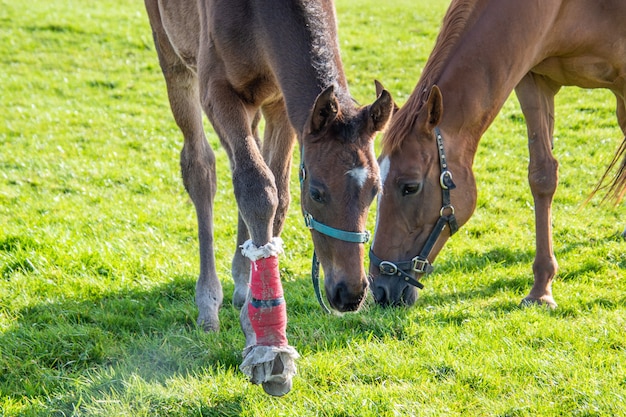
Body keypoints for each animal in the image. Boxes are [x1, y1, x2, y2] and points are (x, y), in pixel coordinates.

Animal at [144, 0, 392, 394]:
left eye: (375, 191)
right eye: (317, 192)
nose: (350, 293)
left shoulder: (282, 104)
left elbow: (279, 194)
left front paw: (254, 309)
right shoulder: (217, 90)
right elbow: (258, 190)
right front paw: (268, 346)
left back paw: (242, 280)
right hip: (172, 53)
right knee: (201, 166)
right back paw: (209, 302)